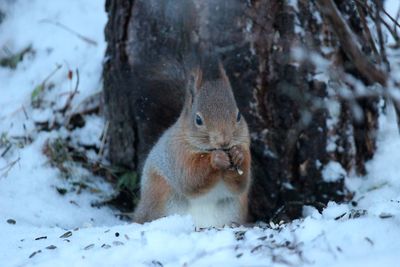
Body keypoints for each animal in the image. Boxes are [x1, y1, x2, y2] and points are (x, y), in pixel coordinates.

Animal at [135, 56, 253, 228]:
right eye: (198, 120)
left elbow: (240, 184)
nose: (224, 141)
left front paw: (238, 155)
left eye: (238, 116)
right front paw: (216, 159)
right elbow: (190, 177)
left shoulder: (245, 144)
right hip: (159, 194)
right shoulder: (177, 153)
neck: (209, 150)